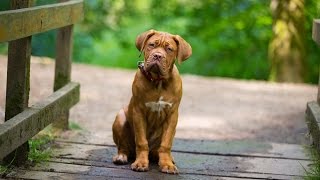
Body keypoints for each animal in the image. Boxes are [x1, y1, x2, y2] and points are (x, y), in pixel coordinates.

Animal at [112, 29, 192, 174]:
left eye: (169, 49)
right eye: (151, 45)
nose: (157, 56)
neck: (158, 81)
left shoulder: (172, 115)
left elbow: (166, 143)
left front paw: (167, 164)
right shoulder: (139, 112)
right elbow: (142, 142)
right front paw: (140, 163)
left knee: (159, 148)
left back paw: (165, 157)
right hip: (120, 118)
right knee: (123, 146)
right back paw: (121, 156)